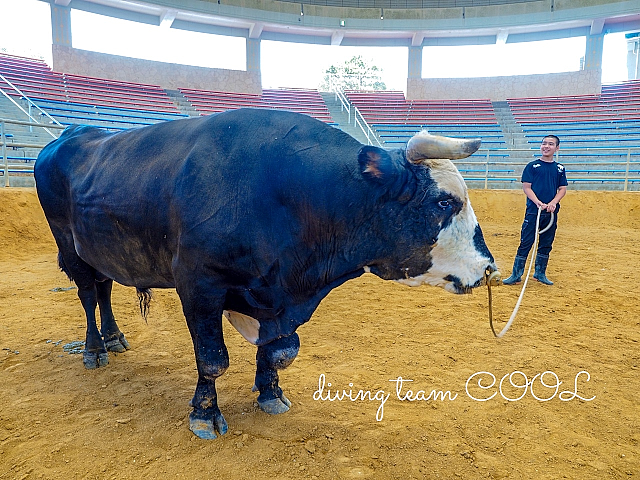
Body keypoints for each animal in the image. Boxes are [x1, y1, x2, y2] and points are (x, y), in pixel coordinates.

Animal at [33, 109, 496, 438]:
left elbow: (280, 351)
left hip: (99, 251)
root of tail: (70, 135)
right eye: (443, 203)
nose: (488, 267)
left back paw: (114, 337)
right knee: (88, 294)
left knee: (105, 288)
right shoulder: (198, 285)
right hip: (69, 247)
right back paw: (94, 348)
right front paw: (204, 414)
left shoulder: (279, 297)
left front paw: (271, 394)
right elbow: (213, 360)